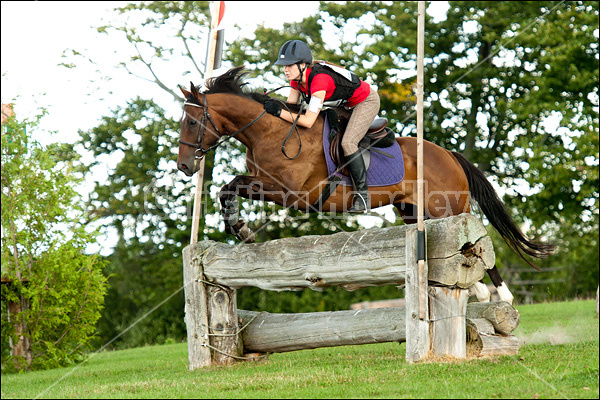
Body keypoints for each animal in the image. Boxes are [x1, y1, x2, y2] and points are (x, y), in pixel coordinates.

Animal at [176, 66, 556, 304]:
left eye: (192, 121)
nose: (184, 166)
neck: (270, 132)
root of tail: (448, 154)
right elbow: (228, 187)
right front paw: (238, 227)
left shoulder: (294, 194)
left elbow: (233, 185)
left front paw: (241, 228)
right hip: (414, 212)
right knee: (457, 249)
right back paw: (478, 292)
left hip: (447, 207)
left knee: (477, 242)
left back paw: (503, 295)